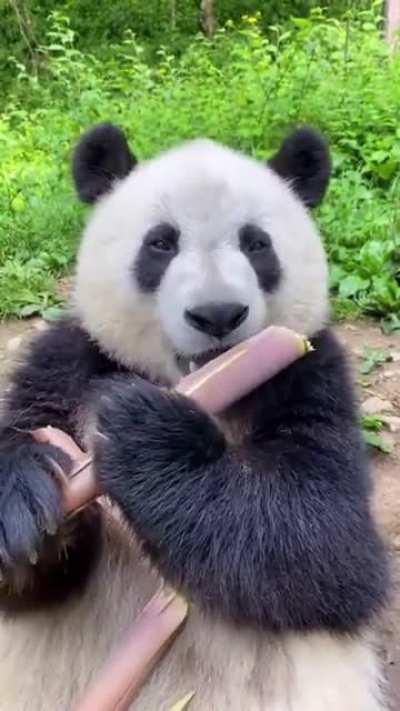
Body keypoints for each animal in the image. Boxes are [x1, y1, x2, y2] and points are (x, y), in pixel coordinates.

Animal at [0, 123, 390, 710]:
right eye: (161, 243)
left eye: (257, 244)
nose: (217, 315)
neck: (198, 384)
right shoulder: (69, 360)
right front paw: (25, 497)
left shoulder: (311, 376)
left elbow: (329, 548)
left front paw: (145, 433)